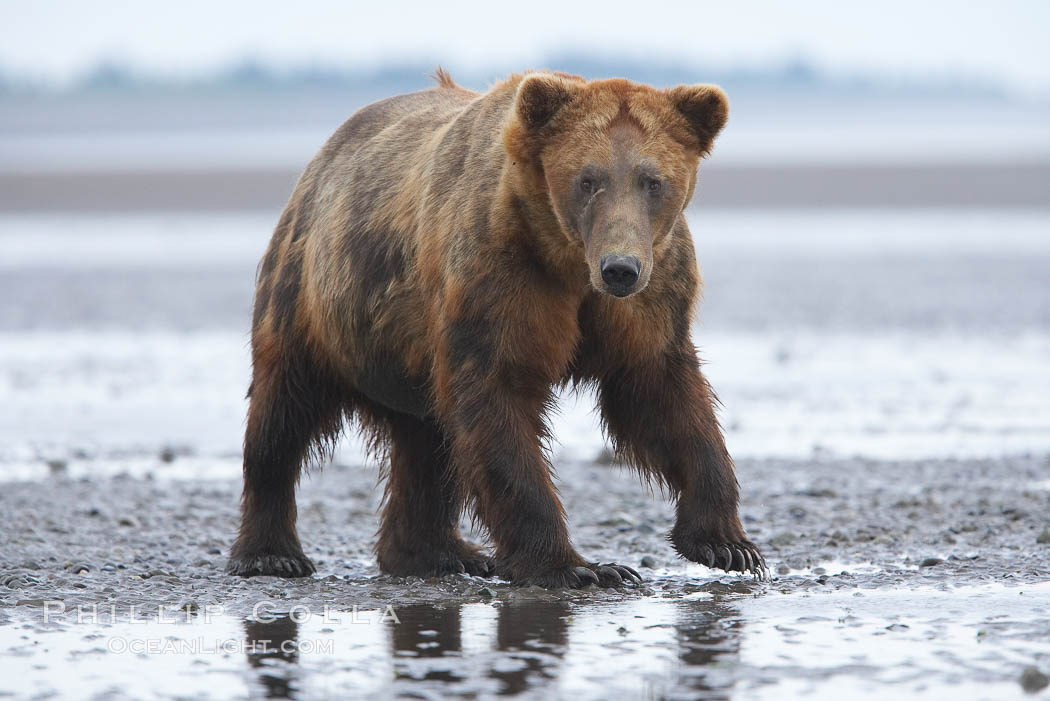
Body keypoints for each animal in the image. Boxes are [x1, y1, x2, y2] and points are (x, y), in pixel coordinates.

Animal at [227, 69, 764, 587]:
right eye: (588, 180)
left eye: (652, 181)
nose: (620, 268)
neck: (568, 263)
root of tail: (322, 159)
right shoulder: (499, 274)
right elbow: (498, 400)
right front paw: (579, 567)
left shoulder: (650, 297)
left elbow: (663, 397)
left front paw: (728, 545)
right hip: (313, 297)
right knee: (282, 416)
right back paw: (272, 554)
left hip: (408, 355)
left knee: (427, 443)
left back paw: (437, 553)